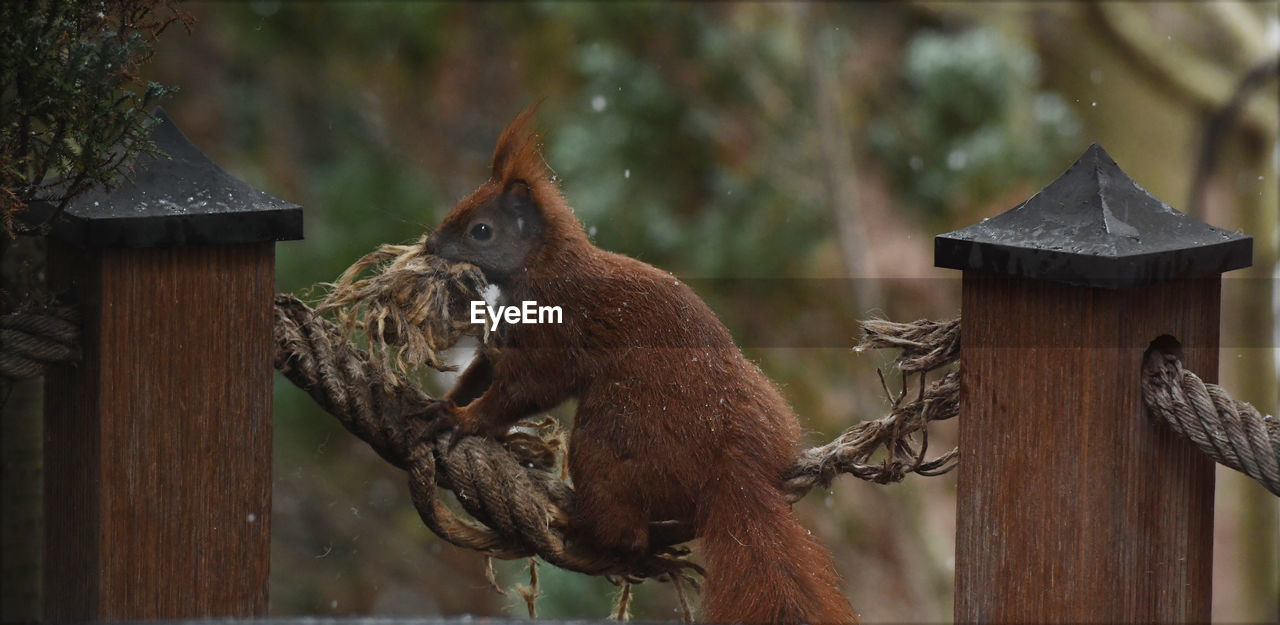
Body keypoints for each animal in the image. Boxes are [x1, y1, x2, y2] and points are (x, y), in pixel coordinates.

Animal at [424, 107, 855, 625]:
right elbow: (483, 372)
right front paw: (441, 403)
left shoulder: (555, 330)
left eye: (481, 230)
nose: (428, 245)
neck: (544, 264)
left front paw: (465, 418)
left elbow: (527, 388)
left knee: (625, 533)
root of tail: (732, 470)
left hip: (610, 443)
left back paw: (595, 534)